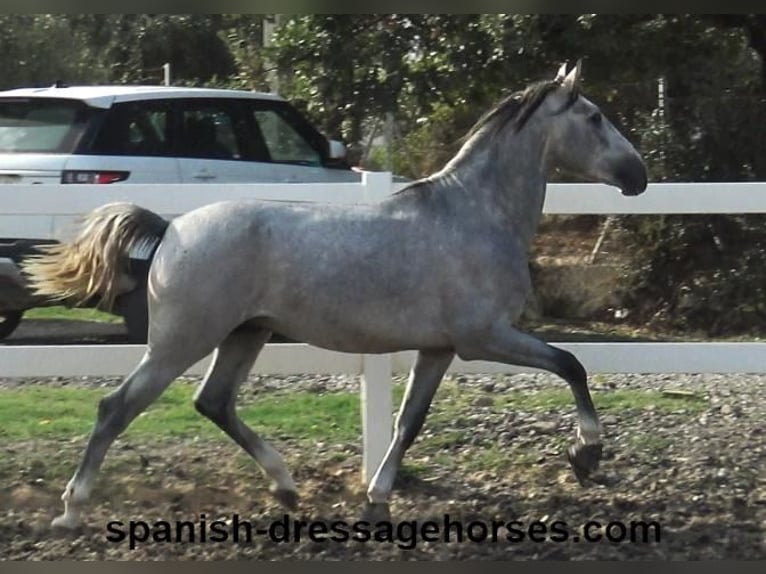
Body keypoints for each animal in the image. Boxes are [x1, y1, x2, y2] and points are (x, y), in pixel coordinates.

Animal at [24, 59, 648, 532]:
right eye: (595, 117)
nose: (638, 175)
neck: (473, 214)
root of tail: (171, 227)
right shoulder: (485, 337)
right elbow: (571, 364)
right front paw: (586, 455)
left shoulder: (440, 349)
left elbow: (408, 422)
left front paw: (377, 499)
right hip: (182, 340)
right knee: (117, 407)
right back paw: (71, 511)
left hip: (245, 334)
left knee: (214, 402)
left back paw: (286, 487)